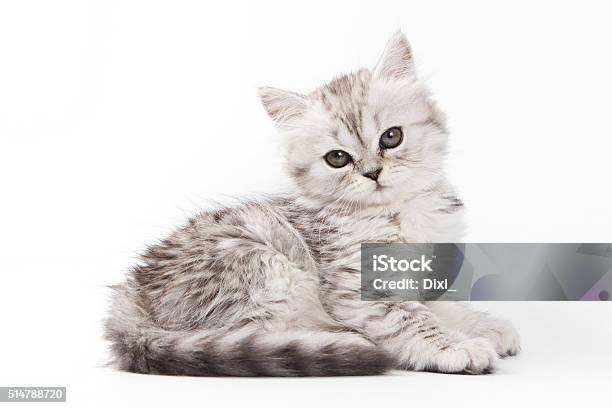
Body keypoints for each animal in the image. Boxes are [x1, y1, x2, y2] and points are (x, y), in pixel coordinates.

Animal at [106, 31, 520, 376]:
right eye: (337, 158)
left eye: (391, 137)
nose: (372, 173)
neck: (397, 215)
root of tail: (130, 293)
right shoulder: (360, 290)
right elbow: (410, 320)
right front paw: (456, 347)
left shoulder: (425, 279)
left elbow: (444, 307)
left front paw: (485, 325)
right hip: (262, 265)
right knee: (256, 333)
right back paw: (338, 340)